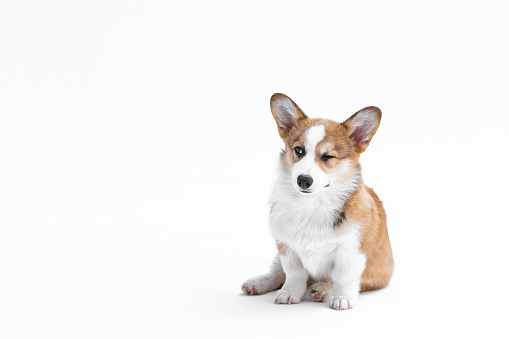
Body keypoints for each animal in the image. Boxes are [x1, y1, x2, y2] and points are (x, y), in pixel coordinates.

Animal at [241, 94, 392, 312]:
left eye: (328, 156)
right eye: (299, 150)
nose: (303, 180)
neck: (312, 203)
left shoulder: (350, 250)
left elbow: (343, 276)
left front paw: (341, 297)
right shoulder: (286, 247)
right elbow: (293, 274)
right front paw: (289, 293)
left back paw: (321, 289)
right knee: (277, 273)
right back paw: (258, 283)